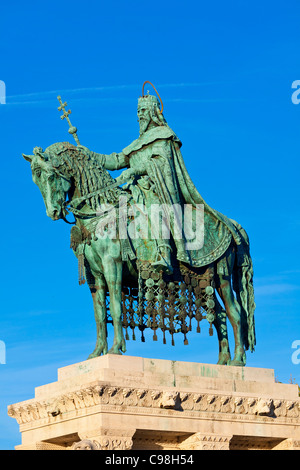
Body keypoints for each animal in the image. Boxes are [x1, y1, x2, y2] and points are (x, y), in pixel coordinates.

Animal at [23, 142, 255, 368]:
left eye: (50, 175)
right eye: (35, 180)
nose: (53, 213)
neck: (99, 213)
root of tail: (232, 224)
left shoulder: (112, 265)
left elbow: (116, 307)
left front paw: (116, 349)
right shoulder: (95, 275)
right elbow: (99, 315)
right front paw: (96, 353)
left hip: (221, 277)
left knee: (236, 313)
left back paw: (237, 361)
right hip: (199, 282)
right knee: (219, 314)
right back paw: (222, 362)